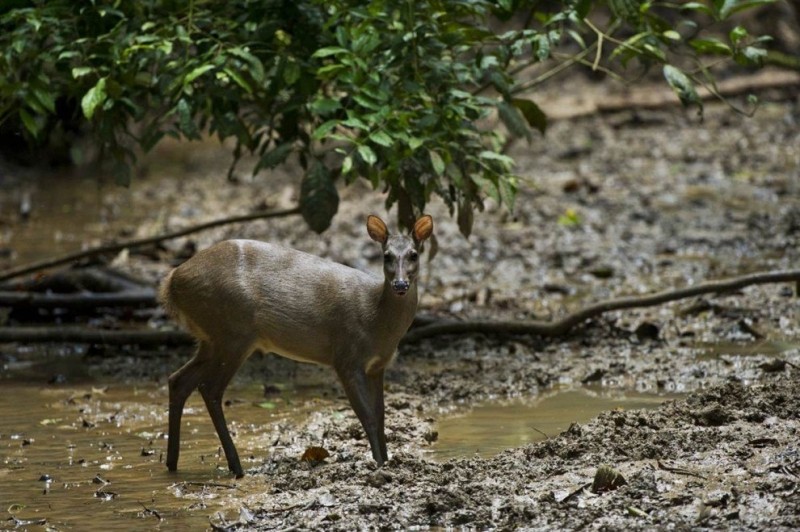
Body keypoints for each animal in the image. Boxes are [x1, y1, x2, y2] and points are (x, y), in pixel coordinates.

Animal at [160, 214, 434, 476]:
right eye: (386, 255)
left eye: (414, 254)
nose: (400, 284)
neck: (376, 320)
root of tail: (171, 281)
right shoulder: (346, 357)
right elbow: (367, 416)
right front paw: (379, 464)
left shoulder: (378, 366)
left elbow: (381, 415)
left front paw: (387, 461)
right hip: (233, 333)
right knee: (210, 388)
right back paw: (236, 468)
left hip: (212, 339)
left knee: (178, 380)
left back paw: (172, 464)